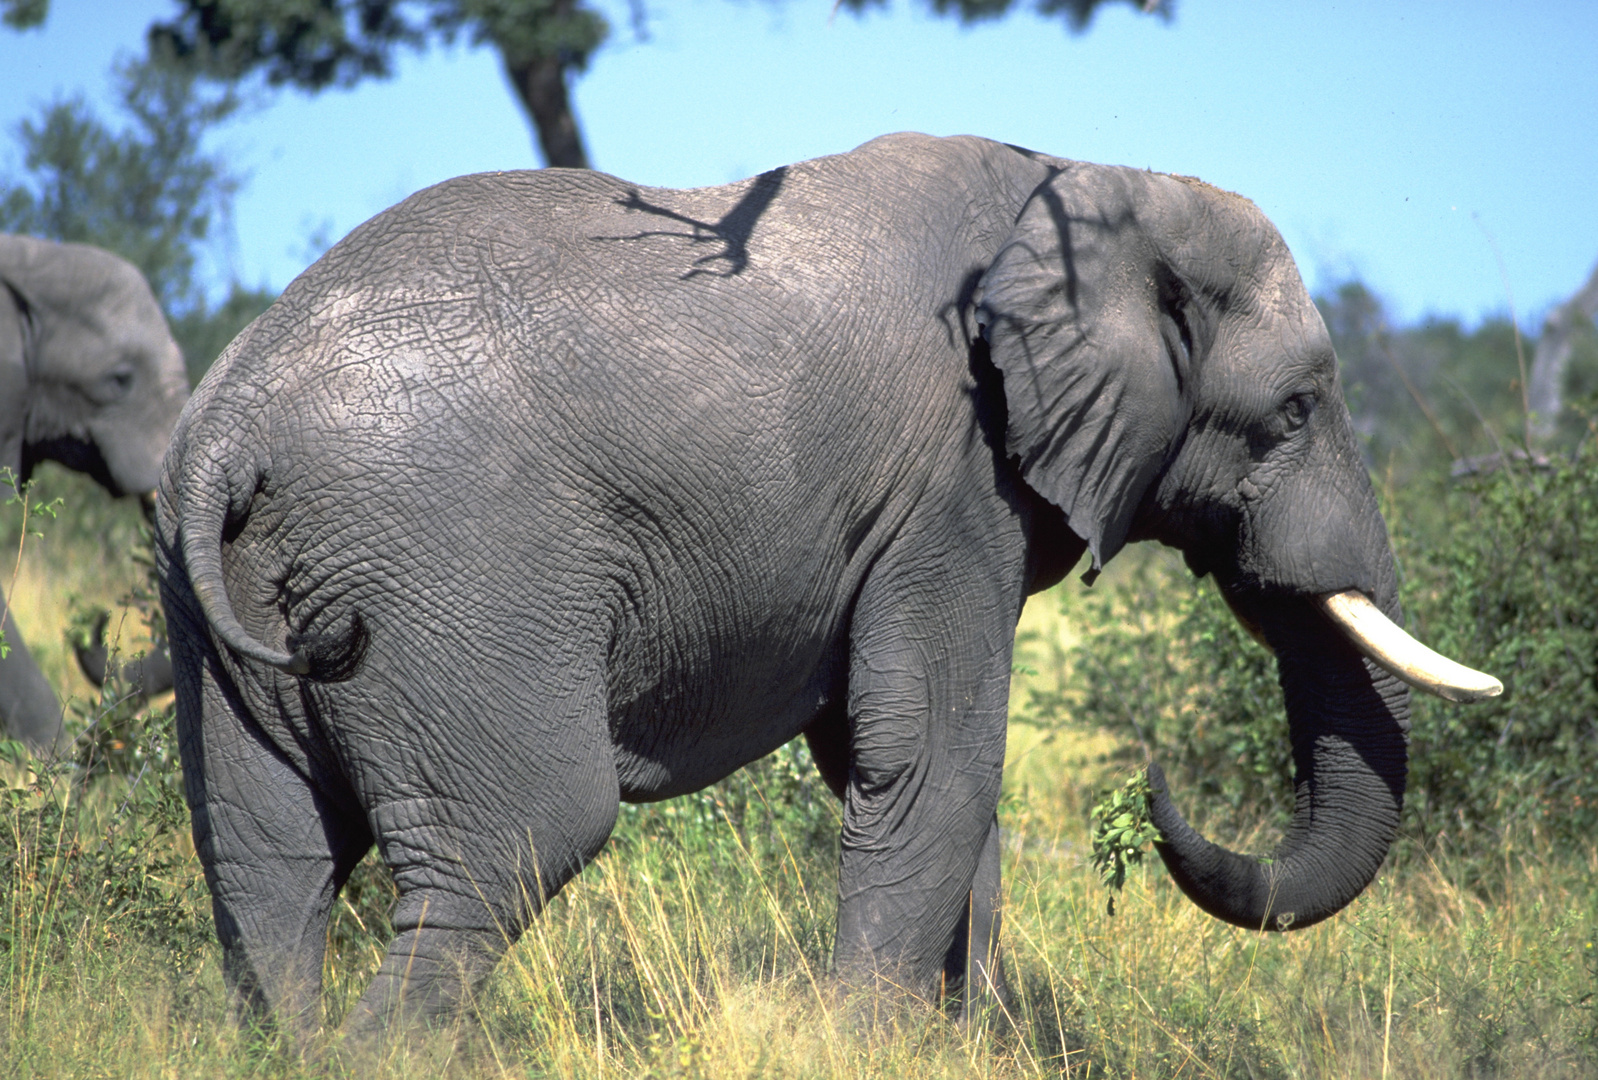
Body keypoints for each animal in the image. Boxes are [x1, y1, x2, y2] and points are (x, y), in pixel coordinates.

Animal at [155, 132, 1502, 1035]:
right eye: (1295, 409)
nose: (1152, 790)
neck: (1088, 181)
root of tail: (226, 424)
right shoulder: (952, 484)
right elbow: (935, 762)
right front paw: (874, 1042)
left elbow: (905, 763)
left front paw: (961, 1043)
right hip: (452, 582)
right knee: (512, 840)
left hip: (221, 600)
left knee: (269, 865)